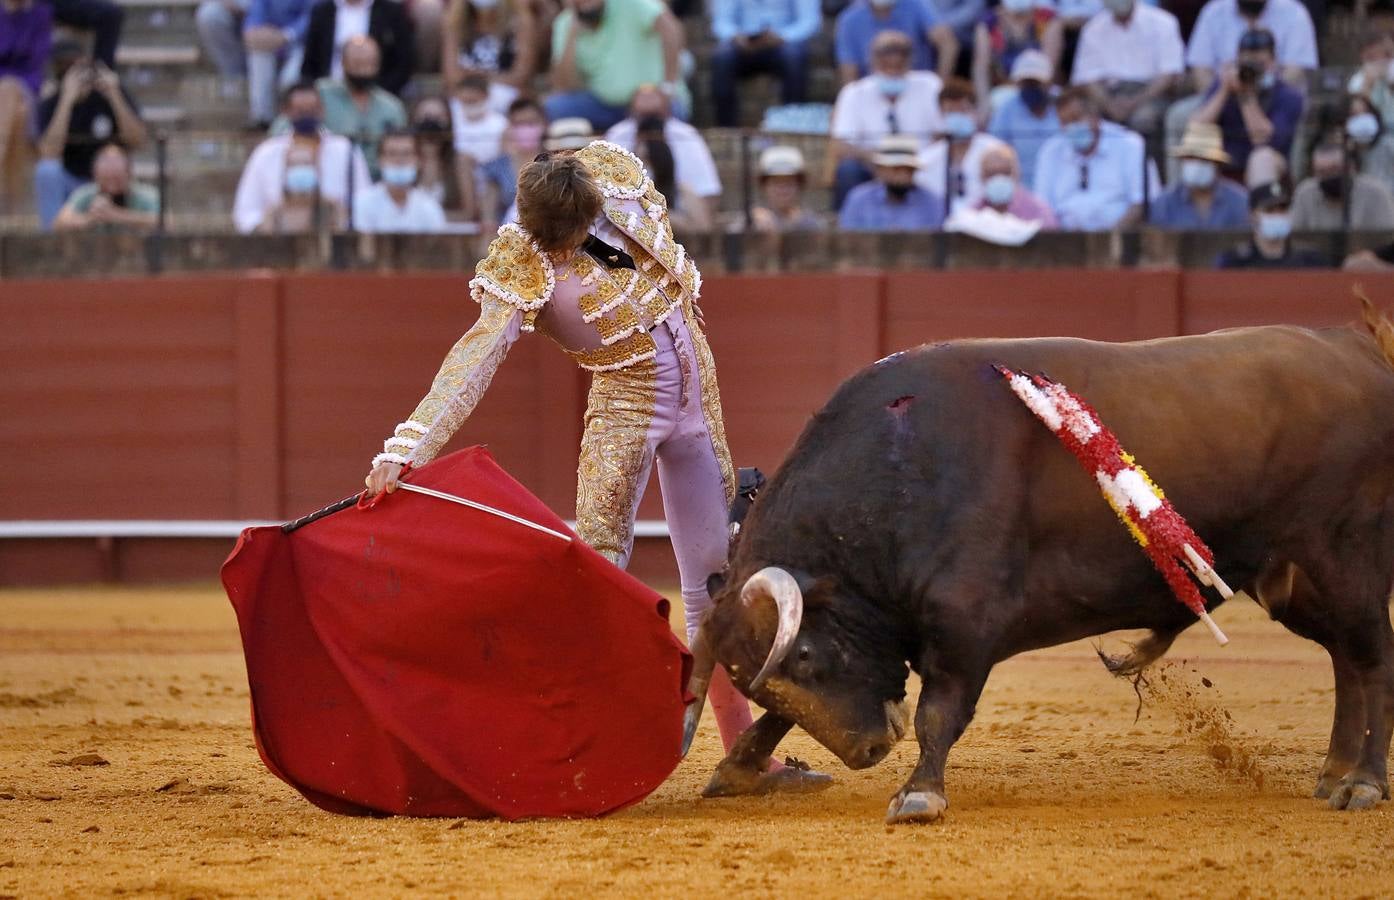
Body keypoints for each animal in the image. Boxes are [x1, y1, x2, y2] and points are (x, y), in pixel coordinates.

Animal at [680, 306, 1394, 830]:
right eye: (756, 682)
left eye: (805, 658)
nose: (868, 752)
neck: (901, 470)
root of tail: (1359, 352)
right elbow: (789, 717)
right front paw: (736, 771)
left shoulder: (966, 625)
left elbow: (939, 712)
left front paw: (918, 795)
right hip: (1293, 581)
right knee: (1346, 659)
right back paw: (1333, 774)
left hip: (1344, 558)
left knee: (1373, 656)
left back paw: (1363, 783)